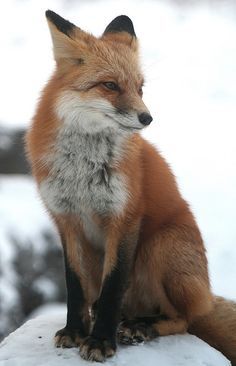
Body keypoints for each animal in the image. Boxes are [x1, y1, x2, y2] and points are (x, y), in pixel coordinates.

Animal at [25, 10, 236, 364]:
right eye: (110, 85)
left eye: (140, 88)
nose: (147, 118)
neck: (83, 169)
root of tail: (206, 295)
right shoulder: (67, 220)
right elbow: (75, 286)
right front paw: (75, 331)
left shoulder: (124, 218)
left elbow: (113, 287)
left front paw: (100, 341)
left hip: (160, 246)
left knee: (183, 319)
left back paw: (141, 325)